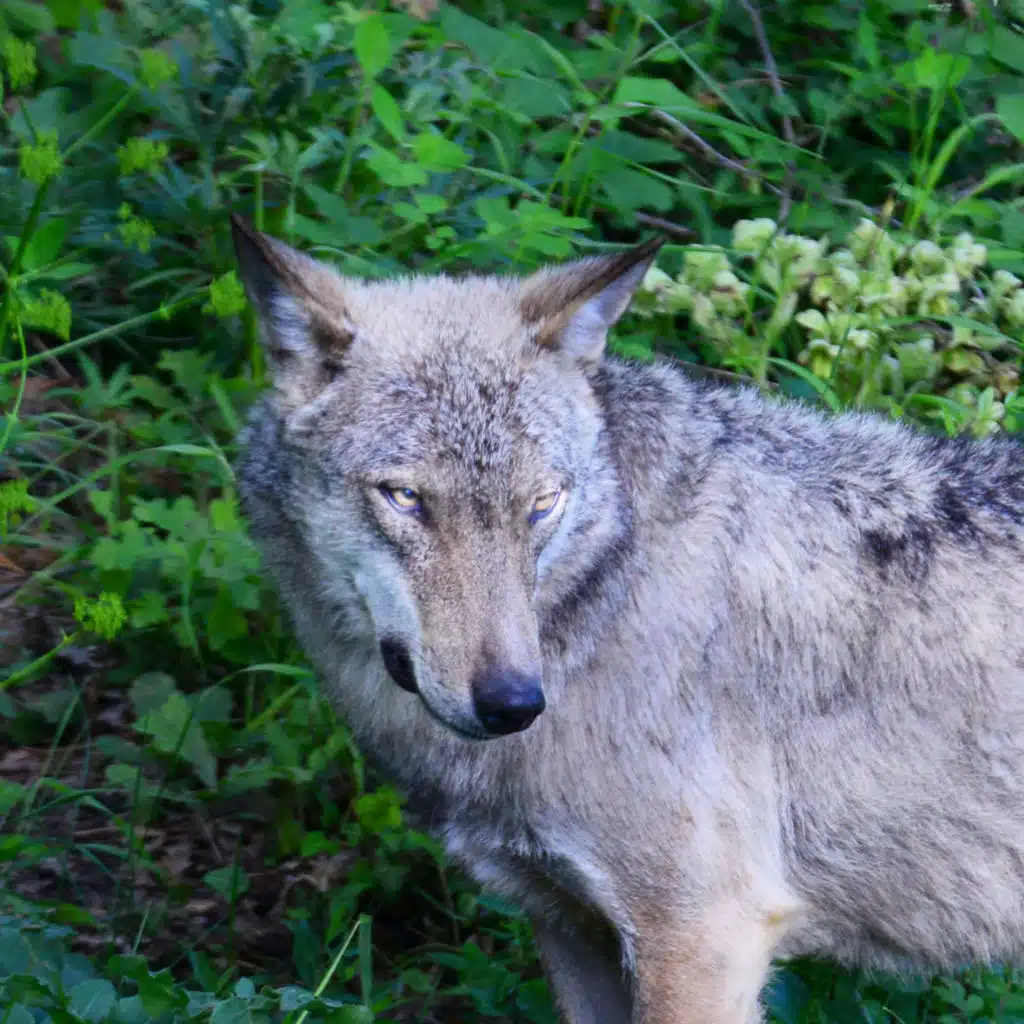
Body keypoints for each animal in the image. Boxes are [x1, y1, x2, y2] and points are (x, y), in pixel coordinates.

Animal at [230, 212, 1024, 1024]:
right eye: (407, 498)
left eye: (542, 504)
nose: (513, 703)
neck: (602, 601)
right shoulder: (566, 920)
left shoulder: (703, 936)